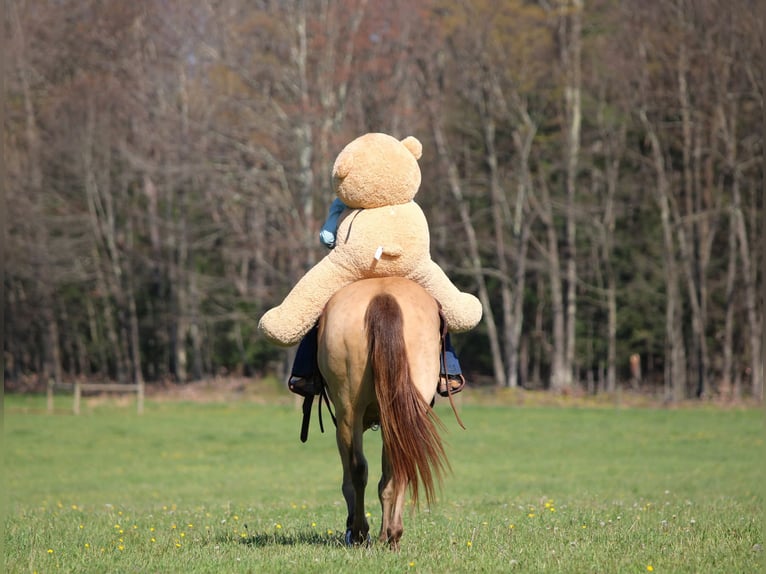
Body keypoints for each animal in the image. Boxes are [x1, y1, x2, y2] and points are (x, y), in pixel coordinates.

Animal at [317, 277, 450, 550]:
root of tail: (383, 296)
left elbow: (350, 479)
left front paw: (357, 529)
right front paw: (383, 534)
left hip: (349, 413)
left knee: (358, 469)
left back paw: (360, 531)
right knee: (400, 468)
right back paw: (393, 534)